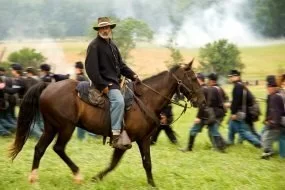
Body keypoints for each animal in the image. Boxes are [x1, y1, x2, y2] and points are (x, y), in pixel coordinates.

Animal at [8, 60, 204, 186]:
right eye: (193, 78)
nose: (202, 100)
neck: (146, 99)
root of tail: (47, 86)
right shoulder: (125, 141)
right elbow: (114, 163)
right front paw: (96, 178)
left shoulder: (144, 139)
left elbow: (146, 163)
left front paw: (152, 184)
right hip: (65, 127)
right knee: (58, 148)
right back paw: (77, 175)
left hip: (51, 127)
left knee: (40, 149)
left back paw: (33, 178)